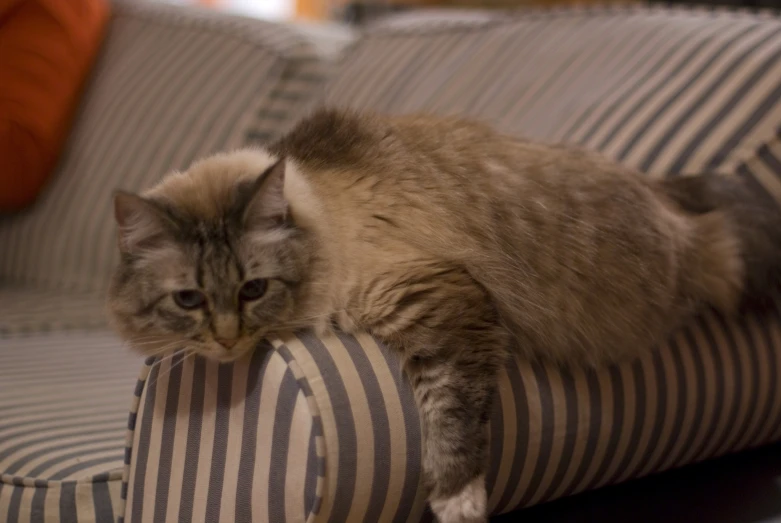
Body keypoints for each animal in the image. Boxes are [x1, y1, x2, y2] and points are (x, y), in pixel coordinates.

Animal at [106, 108, 780, 520]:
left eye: (252, 290)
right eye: (189, 300)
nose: (226, 341)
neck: (321, 216)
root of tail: (667, 191)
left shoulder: (442, 301)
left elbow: (451, 426)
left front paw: (458, 503)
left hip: (718, 263)